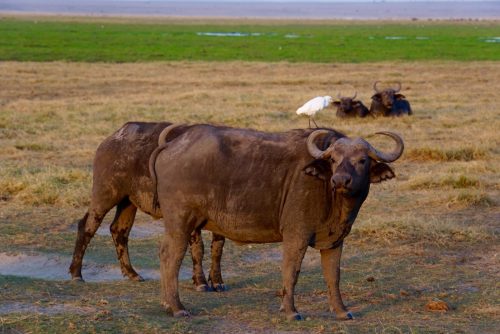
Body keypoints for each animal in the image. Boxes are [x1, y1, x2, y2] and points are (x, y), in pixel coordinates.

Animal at [69, 122, 226, 292]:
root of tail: (113, 138)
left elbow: (218, 248)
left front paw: (217, 281)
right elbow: (198, 248)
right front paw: (200, 282)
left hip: (128, 203)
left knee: (118, 230)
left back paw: (132, 273)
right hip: (105, 195)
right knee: (87, 226)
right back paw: (76, 274)